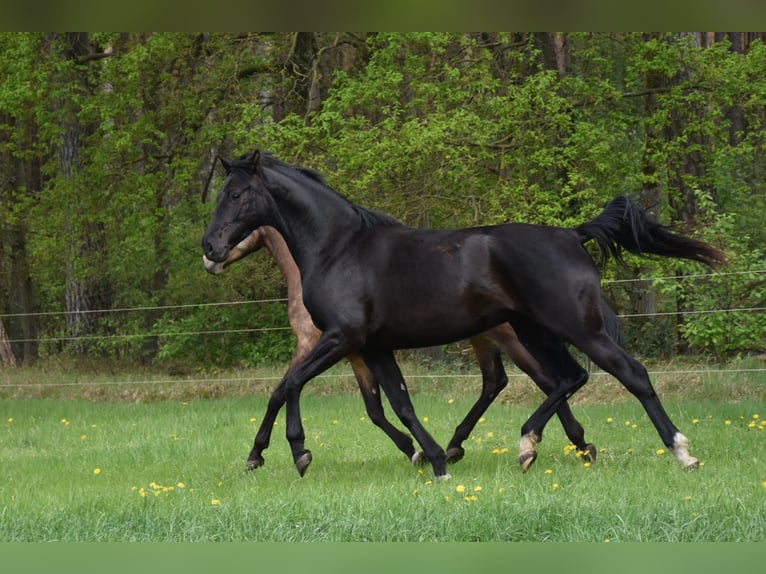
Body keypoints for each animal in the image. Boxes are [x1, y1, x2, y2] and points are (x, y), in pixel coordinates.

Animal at [204, 225, 622, 473]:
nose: (210, 258)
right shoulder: (356, 353)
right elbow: (376, 408)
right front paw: (417, 450)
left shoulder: (316, 346)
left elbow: (281, 391)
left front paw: (258, 454)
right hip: (486, 341)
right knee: (501, 382)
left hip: (510, 340)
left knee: (543, 379)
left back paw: (564, 443)